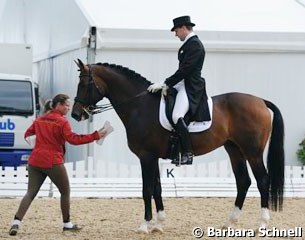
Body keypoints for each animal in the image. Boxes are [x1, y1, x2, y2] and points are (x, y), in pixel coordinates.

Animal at [70, 59, 282, 233]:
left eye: (83, 84)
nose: (75, 114)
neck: (140, 106)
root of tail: (260, 101)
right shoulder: (153, 157)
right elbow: (157, 188)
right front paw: (158, 224)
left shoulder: (146, 156)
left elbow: (146, 189)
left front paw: (144, 225)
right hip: (234, 149)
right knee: (243, 181)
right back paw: (229, 222)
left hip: (253, 152)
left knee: (263, 181)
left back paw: (262, 224)